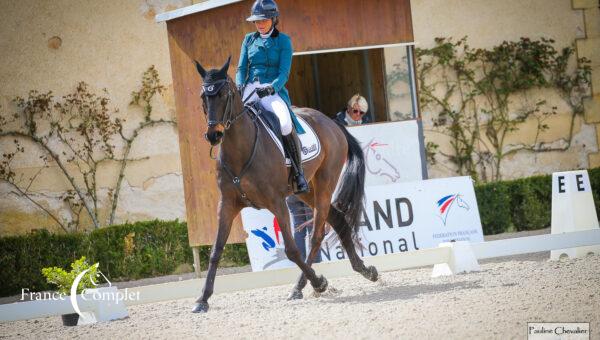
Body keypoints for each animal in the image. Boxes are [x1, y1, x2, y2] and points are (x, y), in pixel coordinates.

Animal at [192, 56, 380, 314]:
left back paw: (302, 286)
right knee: (338, 220)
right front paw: (202, 299)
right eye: (204, 96)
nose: (214, 135)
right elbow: (216, 251)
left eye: (224, 95)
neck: (241, 149)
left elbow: (292, 249)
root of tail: (331, 122)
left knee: (317, 235)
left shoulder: (277, 202)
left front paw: (319, 282)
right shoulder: (227, 204)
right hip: (307, 191)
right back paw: (365, 270)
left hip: (324, 185)